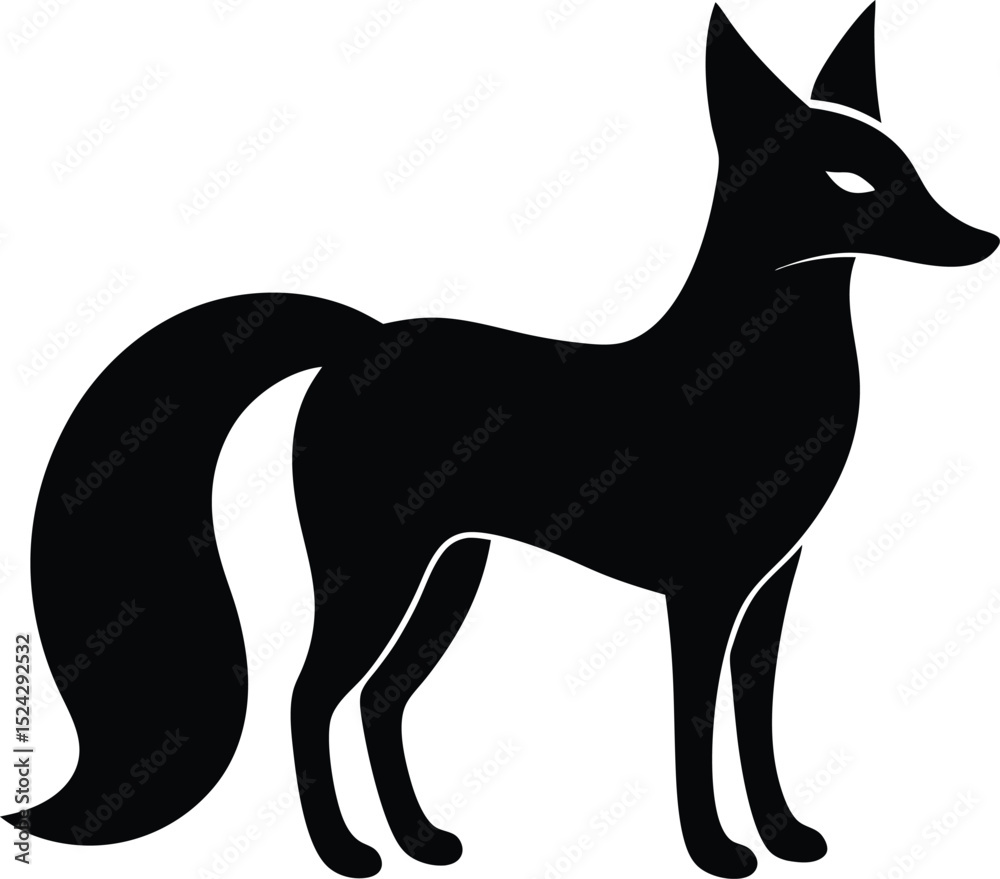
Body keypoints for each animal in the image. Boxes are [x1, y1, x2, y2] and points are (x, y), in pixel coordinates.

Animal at [5, 4, 998, 878]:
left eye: (910, 165)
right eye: (853, 180)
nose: (982, 238)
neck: (746, 365)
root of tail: (359, 339)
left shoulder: (773, 586)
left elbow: (756, 723)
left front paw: (787, 836)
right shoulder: (701, 595)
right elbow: (695, 727)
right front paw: (716, 852)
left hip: (451, 571)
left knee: (380, 698)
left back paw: (421, 841)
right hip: (375, 571)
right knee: (310, 696)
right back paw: (344, 853)